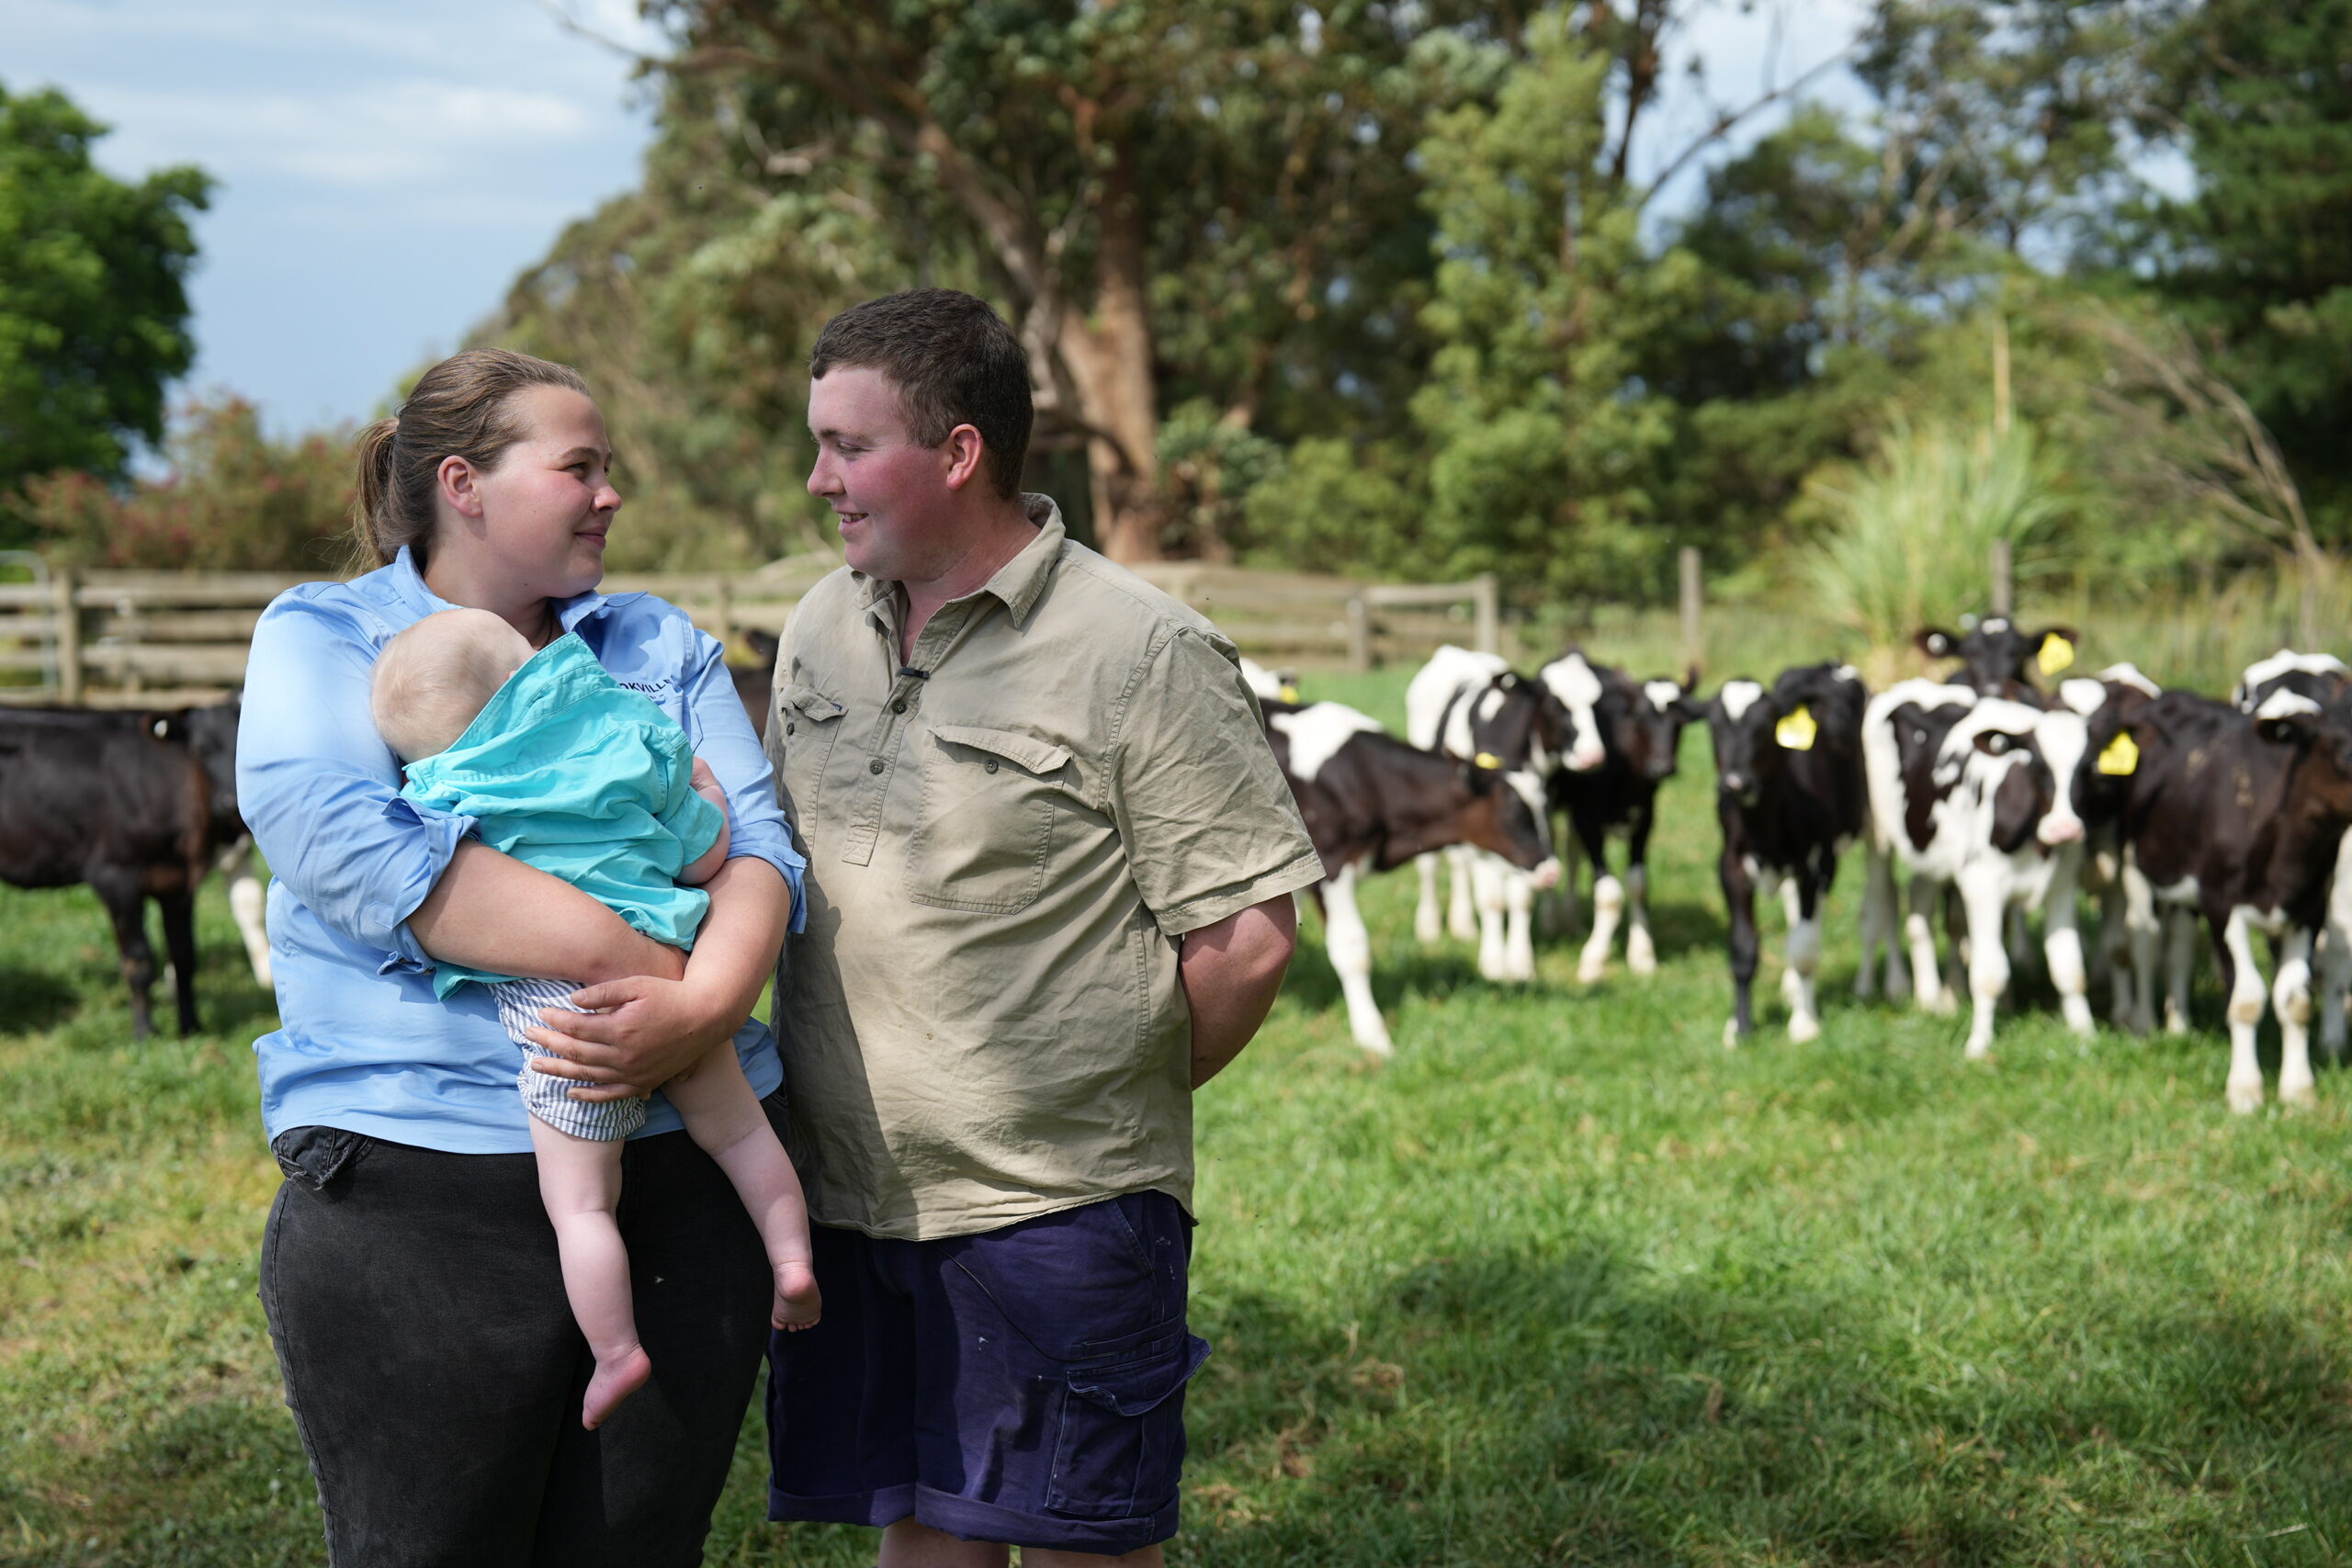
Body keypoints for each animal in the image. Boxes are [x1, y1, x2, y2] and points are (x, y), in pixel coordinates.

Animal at [1270, 709, 1561, 1053]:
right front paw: (1372, 1034)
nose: (1551, 870)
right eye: (1514, 815)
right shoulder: (1333, 867)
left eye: (1546, 809)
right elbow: (1353, 949)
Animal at [1401, 649, 1571, 982]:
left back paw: (1462, 922)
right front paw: (1494, 963)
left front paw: (1520, 963)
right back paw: (1430, 924)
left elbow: (1520, 898)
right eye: (1554, 705)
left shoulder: (1522, 850)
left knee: (1459, 867)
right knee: (1431, 866)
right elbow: (1492, 900)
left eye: (1544, 811)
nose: (1551, 874)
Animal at [1552, 658, 1702, 973]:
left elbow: (1638, 885)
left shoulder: (1645, 821)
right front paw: (1594, 957)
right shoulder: (1588, 821)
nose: (1661, 767)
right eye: (1641, 719)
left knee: (1572, 852)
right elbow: (1609, 893)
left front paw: (1642, 952)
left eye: (1680, 722)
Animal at [1693, 662, 1871, 1043]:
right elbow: (1743, 948)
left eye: (1766, 726)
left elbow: (1805, 950)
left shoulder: (1818, 864)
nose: (1736, 783)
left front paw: (1804, 1024)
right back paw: (1791, 988)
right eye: (1714, 727)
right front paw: (1739, 1026)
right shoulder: (1730, 867)